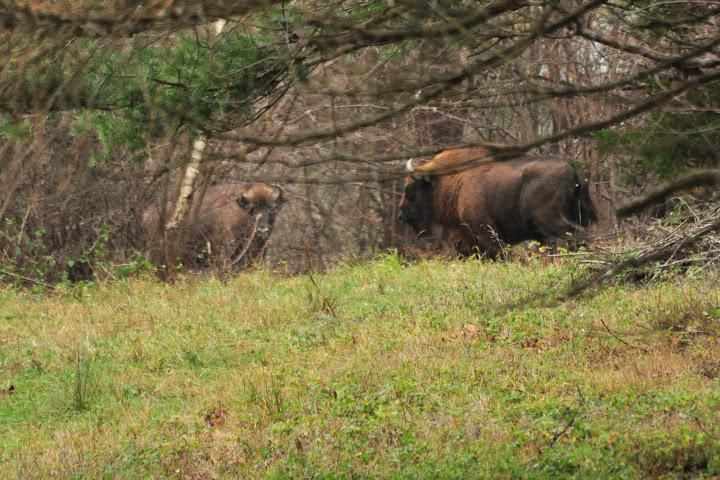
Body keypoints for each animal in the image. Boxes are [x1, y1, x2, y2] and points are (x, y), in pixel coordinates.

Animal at [400, 147, 596, 256]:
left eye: (409, 189)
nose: (402, 215)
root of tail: (573, 172)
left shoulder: (485, 231)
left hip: (551, 221)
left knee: (573, 234)